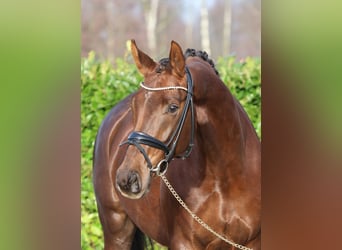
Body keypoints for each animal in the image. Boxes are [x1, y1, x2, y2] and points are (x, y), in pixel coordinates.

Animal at [92, 40, 260, 249]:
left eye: (172, 107)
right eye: (134, 106)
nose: (127, 179)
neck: (227, 178)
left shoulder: (252, 242)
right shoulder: (183, 243)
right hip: (116, 230)